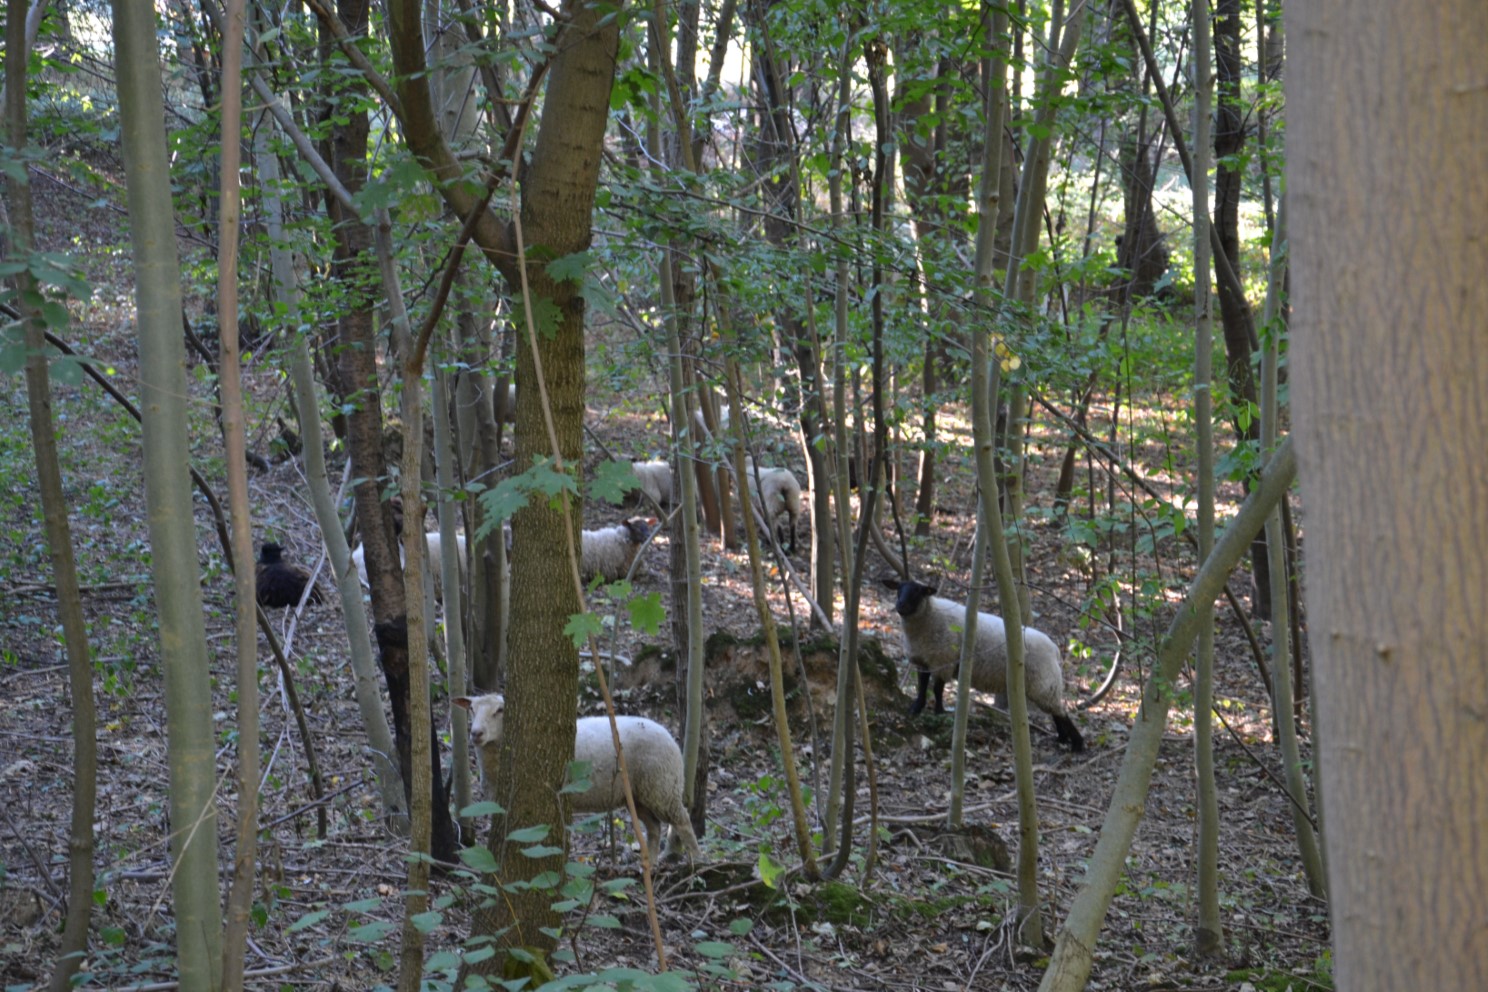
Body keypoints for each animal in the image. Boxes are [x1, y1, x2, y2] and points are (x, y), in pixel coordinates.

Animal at [452, 690, 702, 862]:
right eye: (472, 709)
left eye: (500, 710)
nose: (476, 733)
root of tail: (670, 737)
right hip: (641, 794)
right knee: (654, 827)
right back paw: (650, 864)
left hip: (662, 785)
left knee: (682, 820)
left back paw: (697, 862)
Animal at [874, 574, 1089, 752]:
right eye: (898, 589)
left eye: (918, 592)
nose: (900, 606)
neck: (928, 617)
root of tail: (1054, 649)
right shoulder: (924, 660)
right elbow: (922, 685)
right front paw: (916, 708)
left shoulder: (944, 660)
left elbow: (937, 688)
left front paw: (939, 712)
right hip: (1043, 683)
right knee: (1055, 711)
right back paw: (1062, 738)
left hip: (1044, 682)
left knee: (1060, 711)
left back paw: (1077, 744)